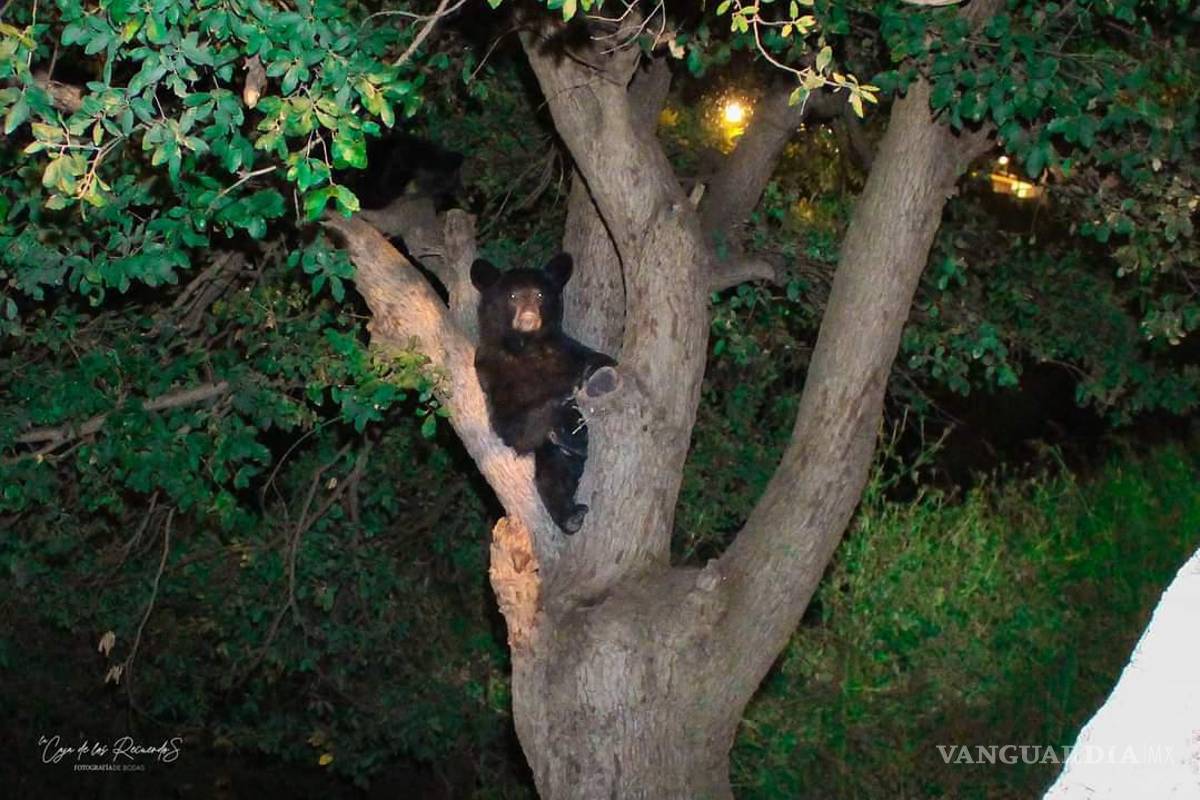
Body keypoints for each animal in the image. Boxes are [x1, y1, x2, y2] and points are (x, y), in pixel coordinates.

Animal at [471, 253, 616, 534]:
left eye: (539, 295)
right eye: (513, 296)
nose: (528, 315)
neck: (527, 348)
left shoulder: (566, 351)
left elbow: (600, 360)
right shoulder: (491, 372)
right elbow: (511, 425)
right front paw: (566, 415)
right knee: (551, 472)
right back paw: (570, 515)